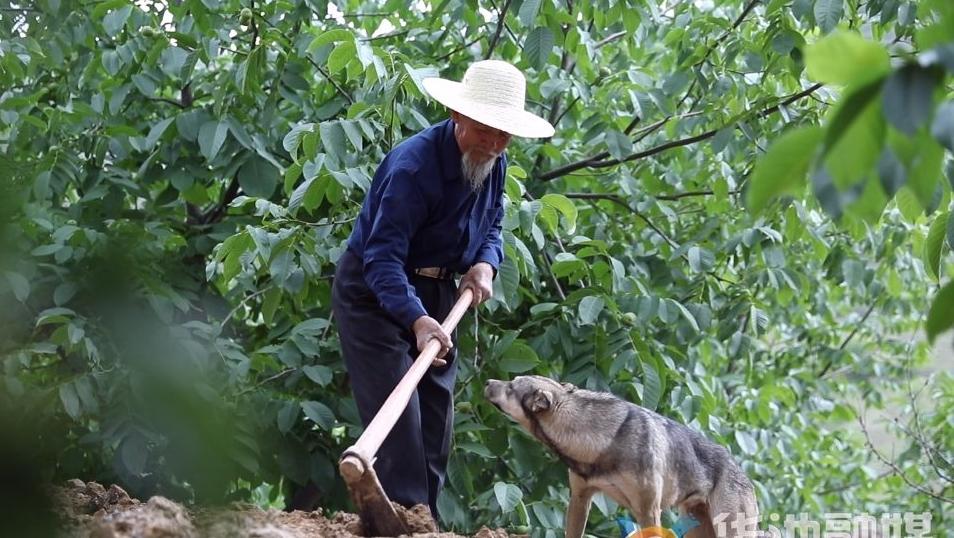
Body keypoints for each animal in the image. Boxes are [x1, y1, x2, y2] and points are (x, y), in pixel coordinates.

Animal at [484, 372, 760, 536]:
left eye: (511, 387)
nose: (486, 382)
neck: (605, 440)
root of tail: (744, 475)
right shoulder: (580, 498)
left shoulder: (649, 511)